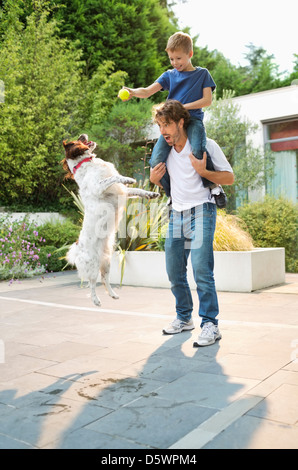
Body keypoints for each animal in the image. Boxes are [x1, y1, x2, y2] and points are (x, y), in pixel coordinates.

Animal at [61, 134, 161, 306]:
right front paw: (127, 178)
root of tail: (77, 248)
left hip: (107, 262)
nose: (84, 135)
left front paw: (151, 194)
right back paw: (96, 300)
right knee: (91, 283)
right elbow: (114, 177)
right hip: (93, 264)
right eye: (77, 139)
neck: (86, 164)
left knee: (104, 280)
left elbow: (138, 190)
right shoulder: (99, 186)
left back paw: (113, 294)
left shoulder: (121, 191)